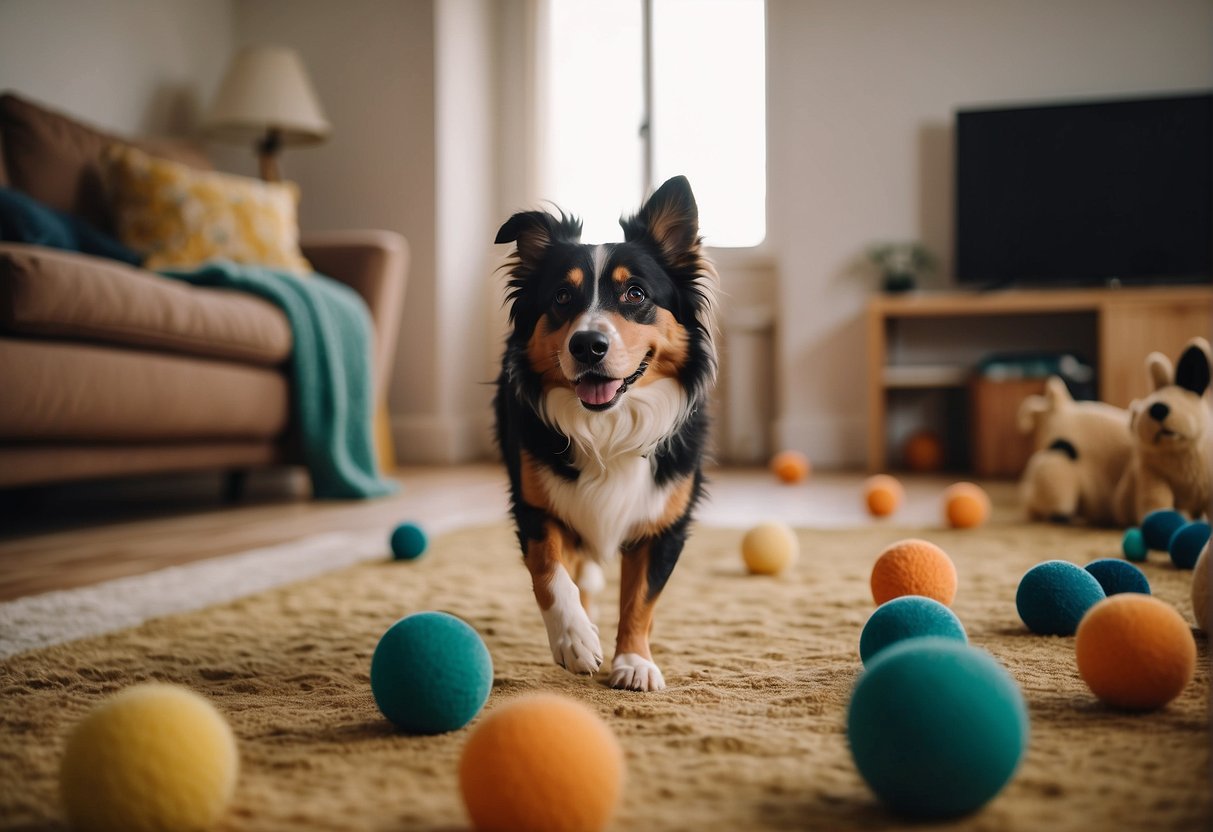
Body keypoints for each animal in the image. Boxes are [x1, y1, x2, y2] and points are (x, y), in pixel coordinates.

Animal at [494, 175, 718, 688]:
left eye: (635, 294)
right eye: (561, 297)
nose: (588, 345)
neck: (608, 426)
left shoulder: (664, 522)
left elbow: (640, 598)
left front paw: (634, 662)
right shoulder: (535, 505)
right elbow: (549, 569)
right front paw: (574, 639)